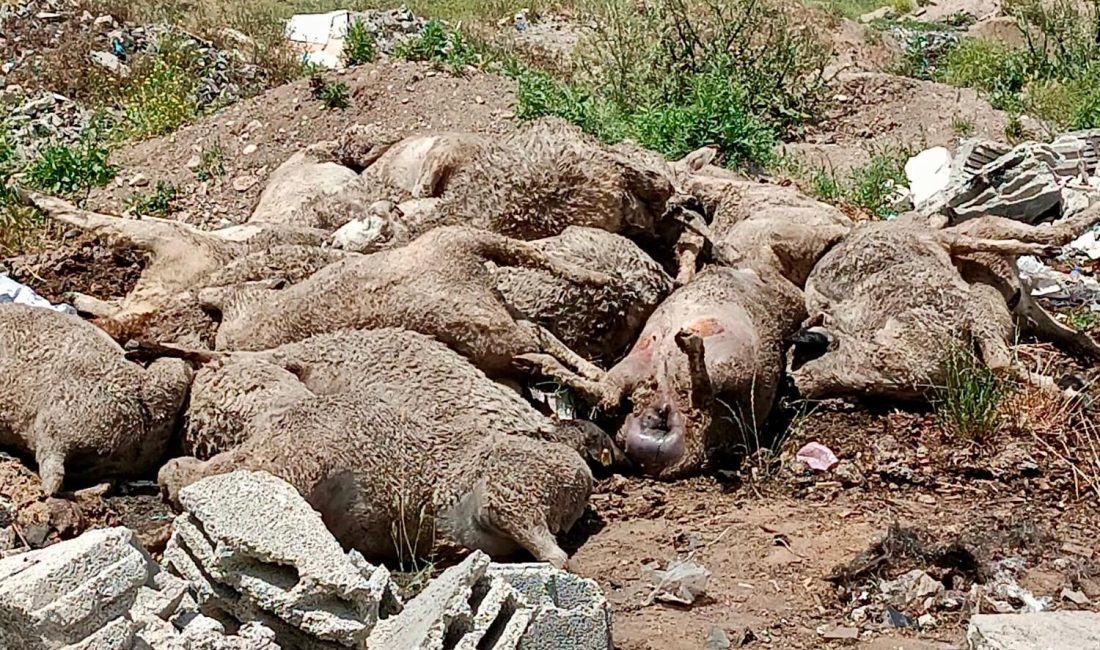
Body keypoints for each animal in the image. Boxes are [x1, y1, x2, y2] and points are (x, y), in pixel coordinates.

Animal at [157, 356, 594, 571]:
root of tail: (583, 478)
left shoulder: (291, 458)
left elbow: (215, 474)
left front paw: (172, 480)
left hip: (512, 491)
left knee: (555, 556)